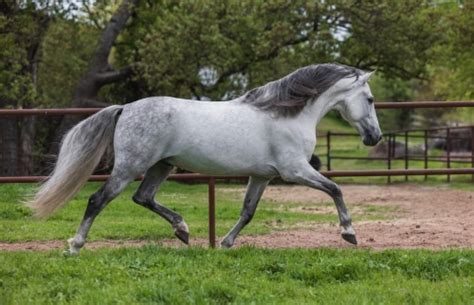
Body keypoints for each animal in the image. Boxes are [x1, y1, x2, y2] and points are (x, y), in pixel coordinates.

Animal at [25, 63, 384, 253]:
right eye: (369, 99)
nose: (375, 137)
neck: (287, 114)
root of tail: (125, 108)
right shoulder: (294, 171)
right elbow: (336, 189)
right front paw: (349, 233)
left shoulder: (263, 175)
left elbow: (248, 212)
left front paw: (225, 243)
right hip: (130, 166)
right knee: (98, 200)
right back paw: (75, 245)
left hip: (162, 166)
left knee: (143, 198)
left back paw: (183, 230)